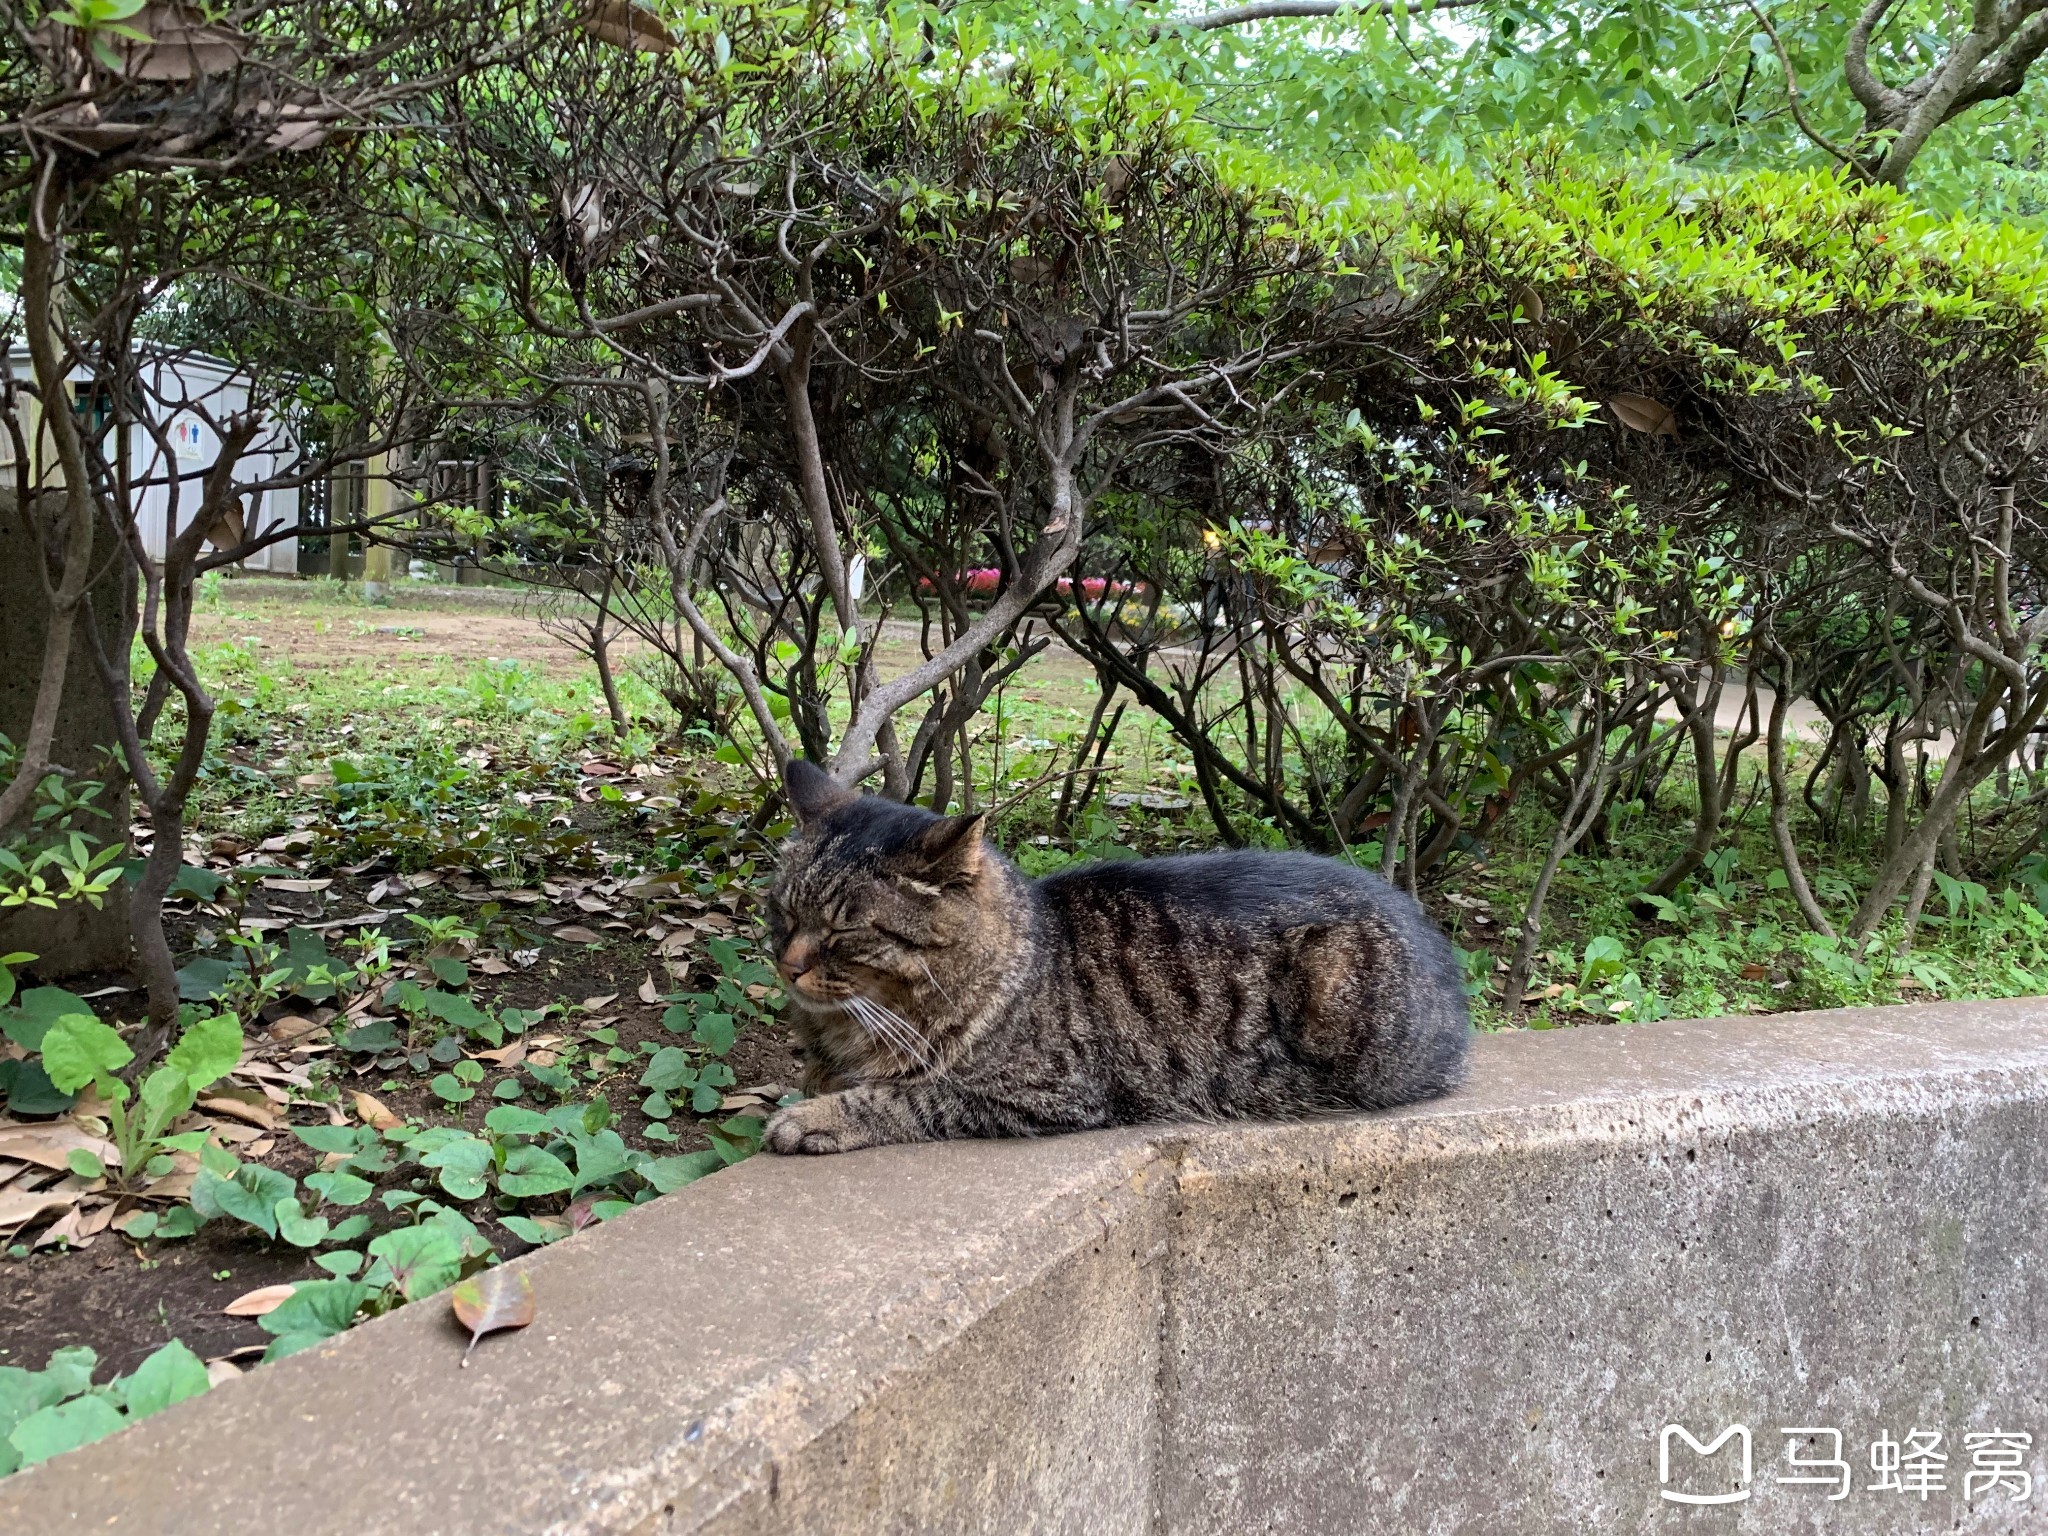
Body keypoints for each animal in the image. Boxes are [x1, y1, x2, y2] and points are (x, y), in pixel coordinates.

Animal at [761, 757, 1466, 1155]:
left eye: (844, 932)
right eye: (782, 912)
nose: (788, 966)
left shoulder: (1048, 1091)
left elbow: (908, 1098)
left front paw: (815, 1117)